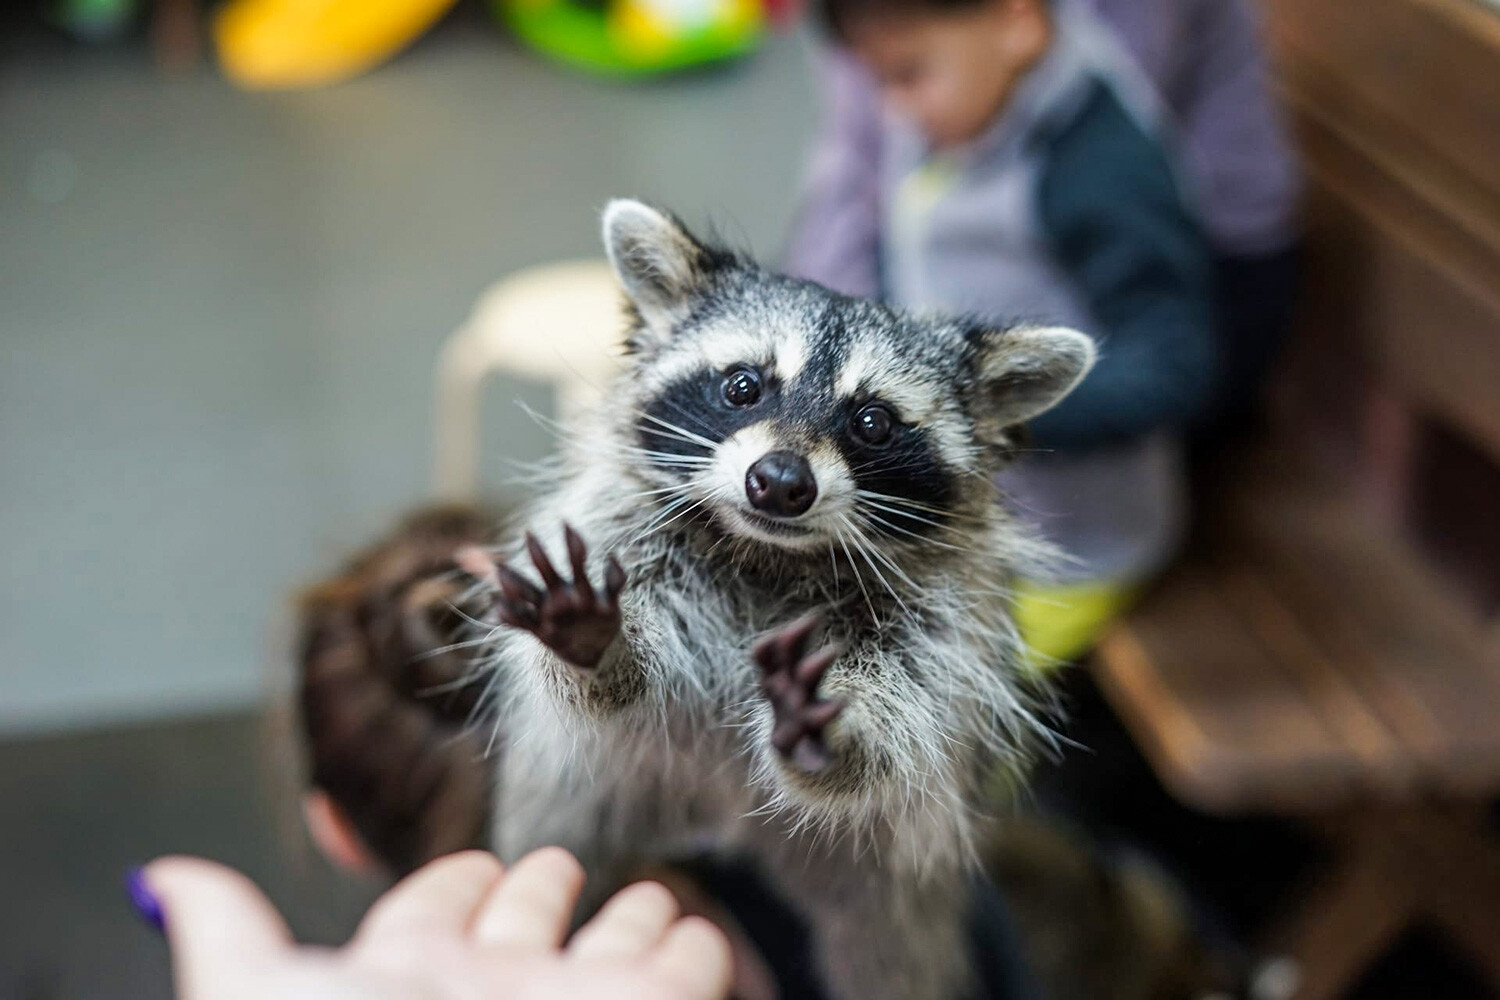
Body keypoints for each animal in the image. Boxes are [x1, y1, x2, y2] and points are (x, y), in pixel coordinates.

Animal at [462, 200, 1098, 1000]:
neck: (770, 555)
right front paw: (597, 647)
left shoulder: (939, 632)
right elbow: (605, 693)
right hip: (581, 800)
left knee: (892, 960)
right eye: (742, 387)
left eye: (872, 421)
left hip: (884, 885)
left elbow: (899, 735)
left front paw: (837, 727)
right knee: (554, 843)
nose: (781, 481)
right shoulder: (626, 535)